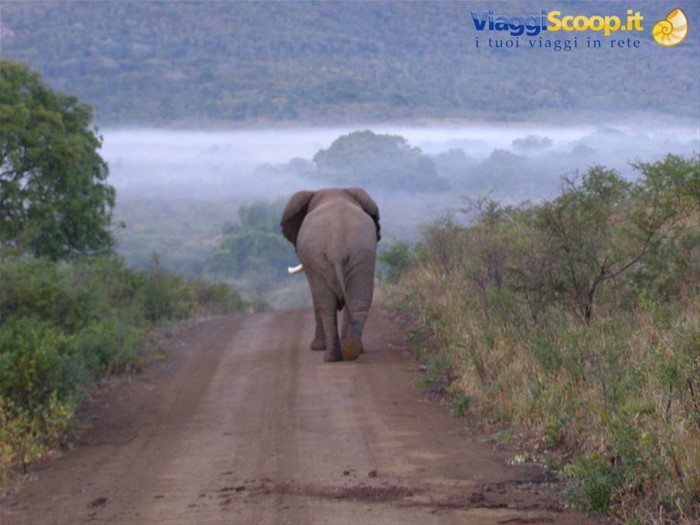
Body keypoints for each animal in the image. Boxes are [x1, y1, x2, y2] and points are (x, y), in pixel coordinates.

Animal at [281, 188, 381, 362]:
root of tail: (338, 248)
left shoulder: (311, 263)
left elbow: (317, 298)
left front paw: (317, 347)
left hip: (319, 256)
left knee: (325, 303)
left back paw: (330, 356)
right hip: (363, 252)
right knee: (358, 299)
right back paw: (352, 349)